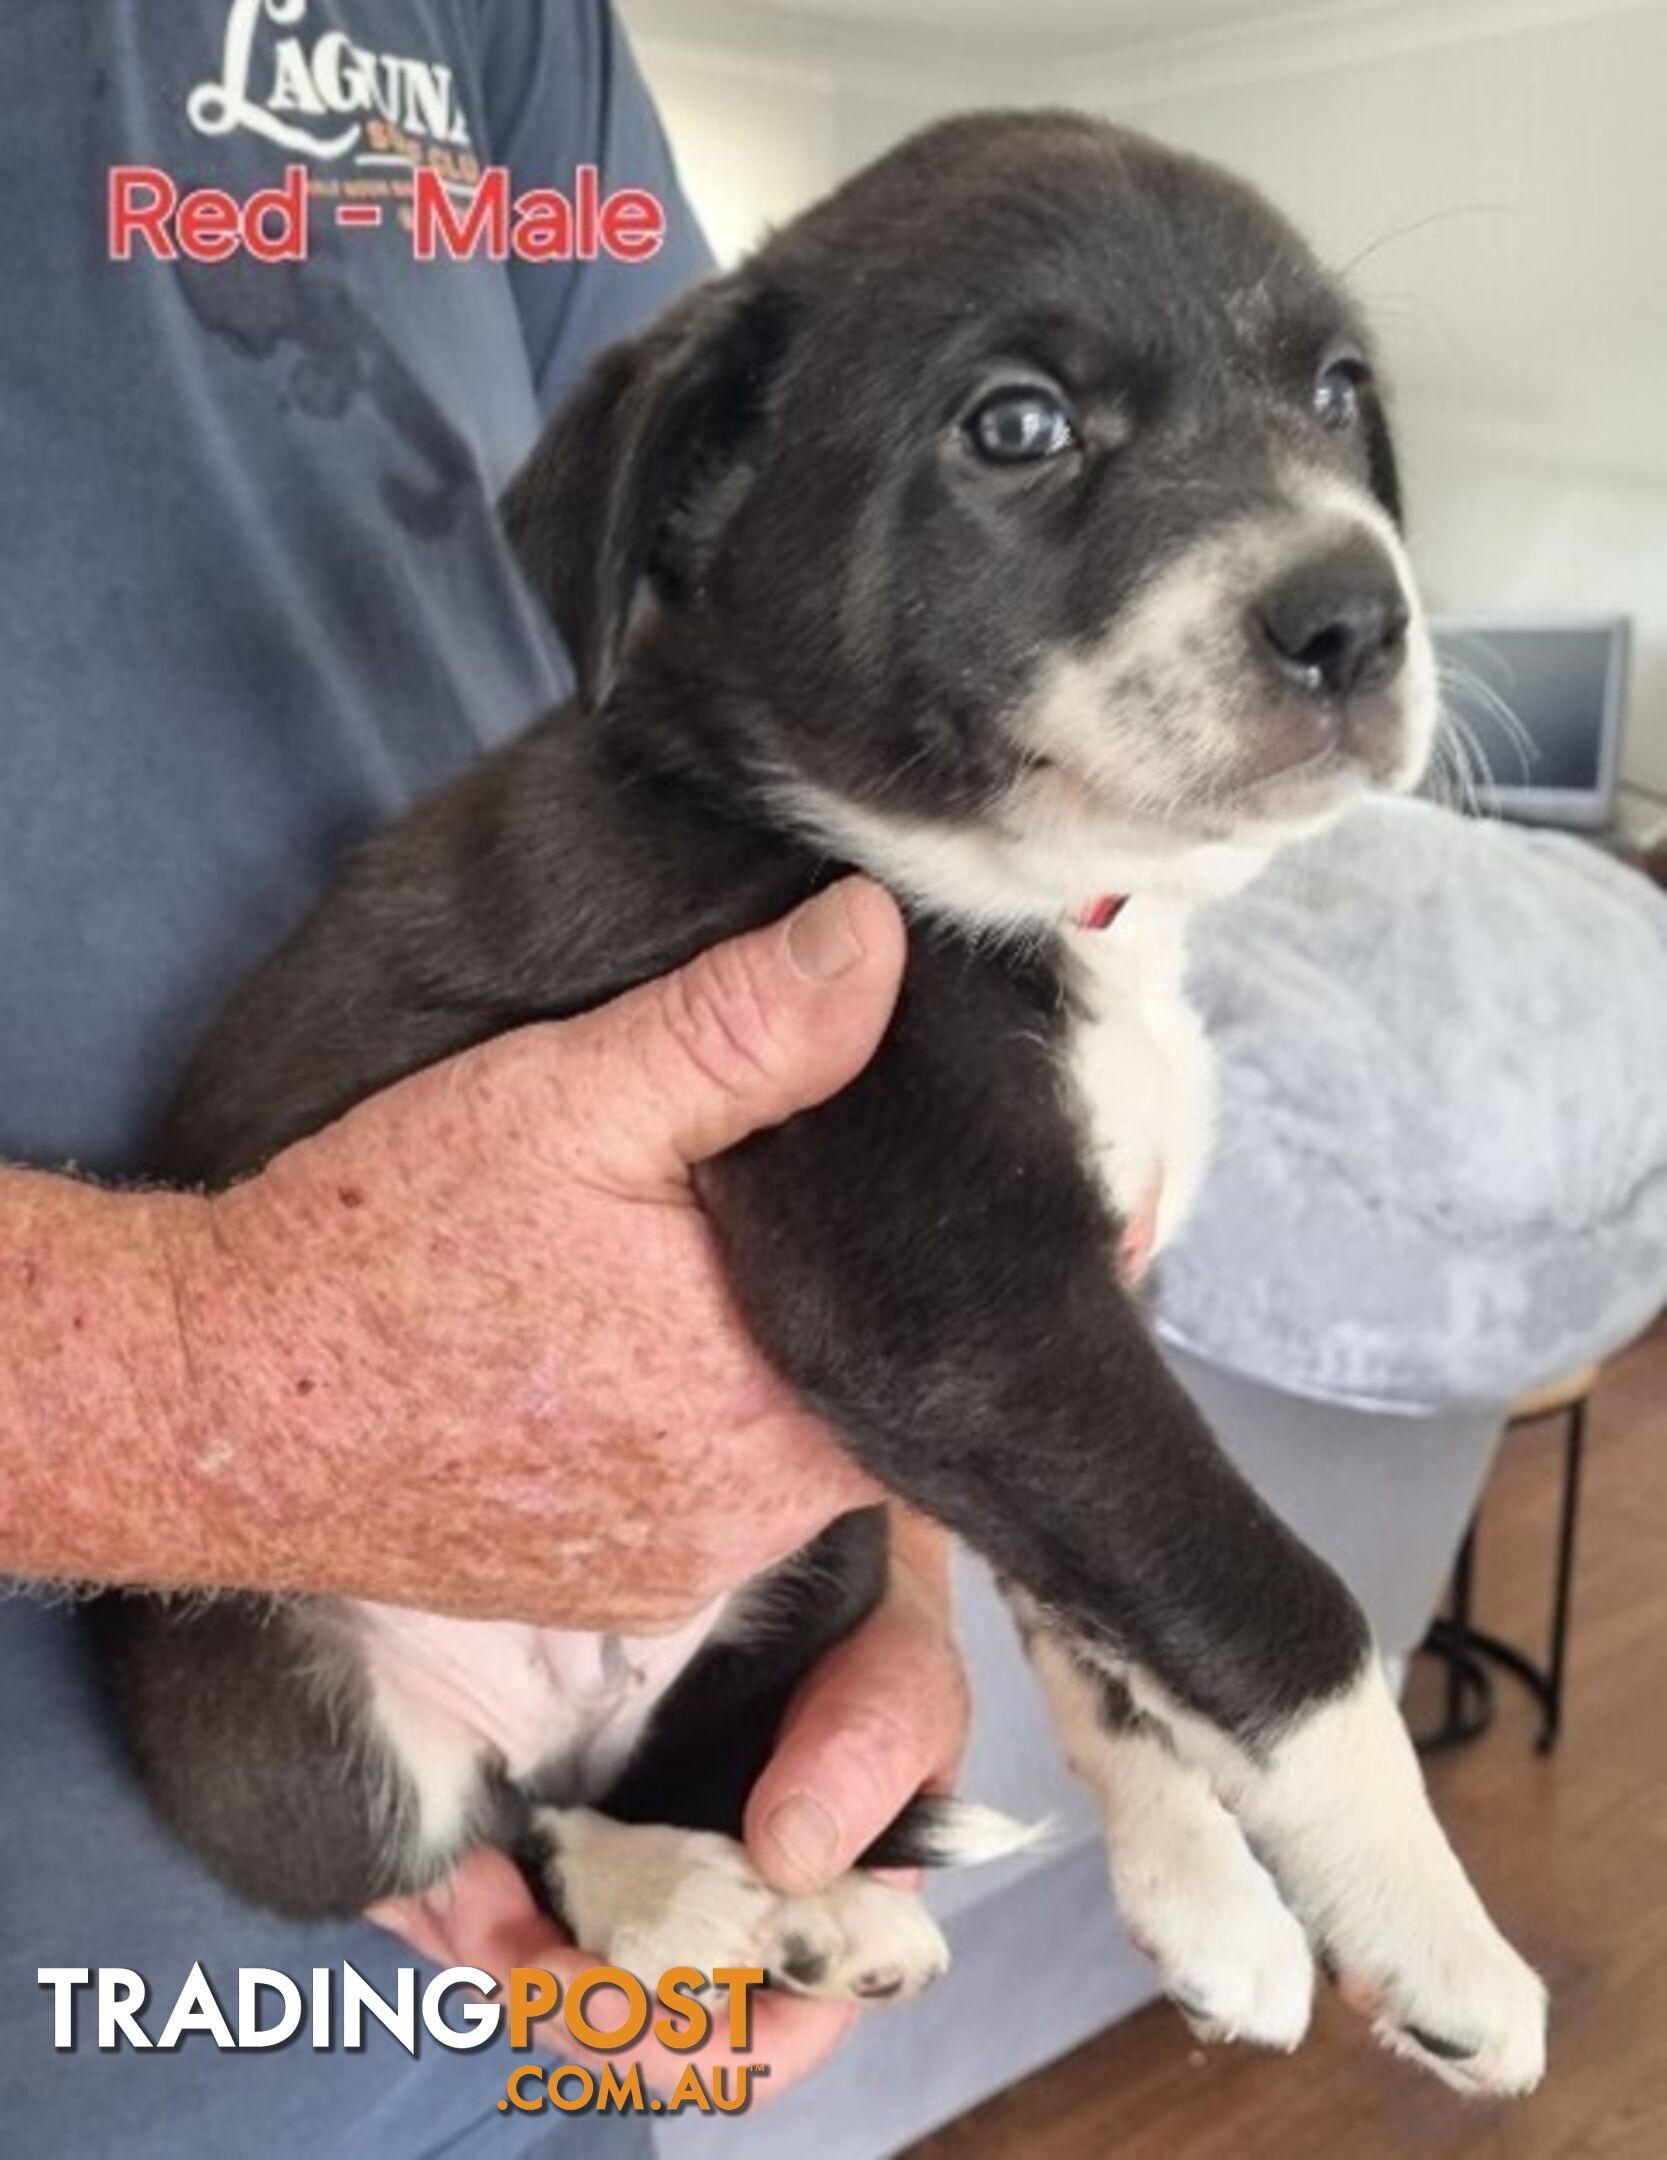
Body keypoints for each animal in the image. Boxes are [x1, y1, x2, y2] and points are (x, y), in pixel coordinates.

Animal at [97, 113, 1546, 2090]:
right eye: (1014, 424)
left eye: (1334, 390)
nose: (1355, 617)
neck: (1007, 892)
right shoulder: (957, 1304)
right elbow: (1265, 1597)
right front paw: (1434, 1939)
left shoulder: (1023, 1374)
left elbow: (1105, 1630)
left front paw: (1206, 1909)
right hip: (291, 1706)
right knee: (490, 1832)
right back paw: (677, 1904)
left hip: (818, 1561)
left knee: (654, 1774)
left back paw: (814, 1902)